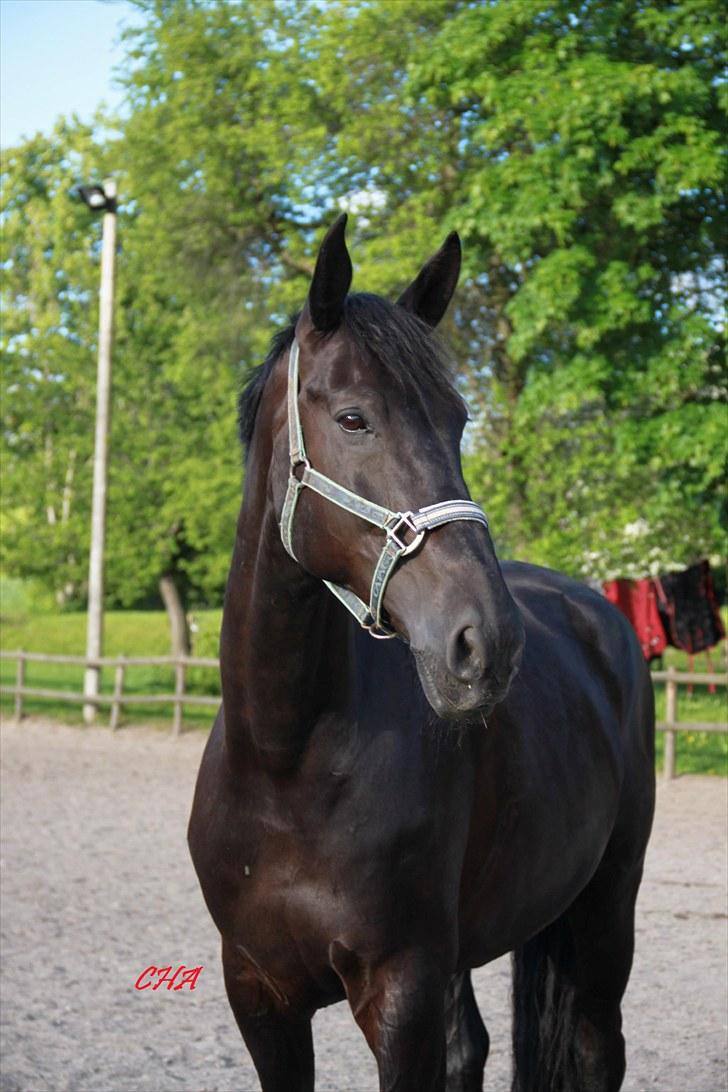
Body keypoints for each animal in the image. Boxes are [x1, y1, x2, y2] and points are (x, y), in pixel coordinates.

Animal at [187, 215, 654, 1092]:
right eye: (353, 419)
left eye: (459, 418)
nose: (487, 642)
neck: (285, 764)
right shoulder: (259, 996)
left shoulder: (400, 993)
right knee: (471, 1047)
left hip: (607, 909)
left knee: (596, 1046)